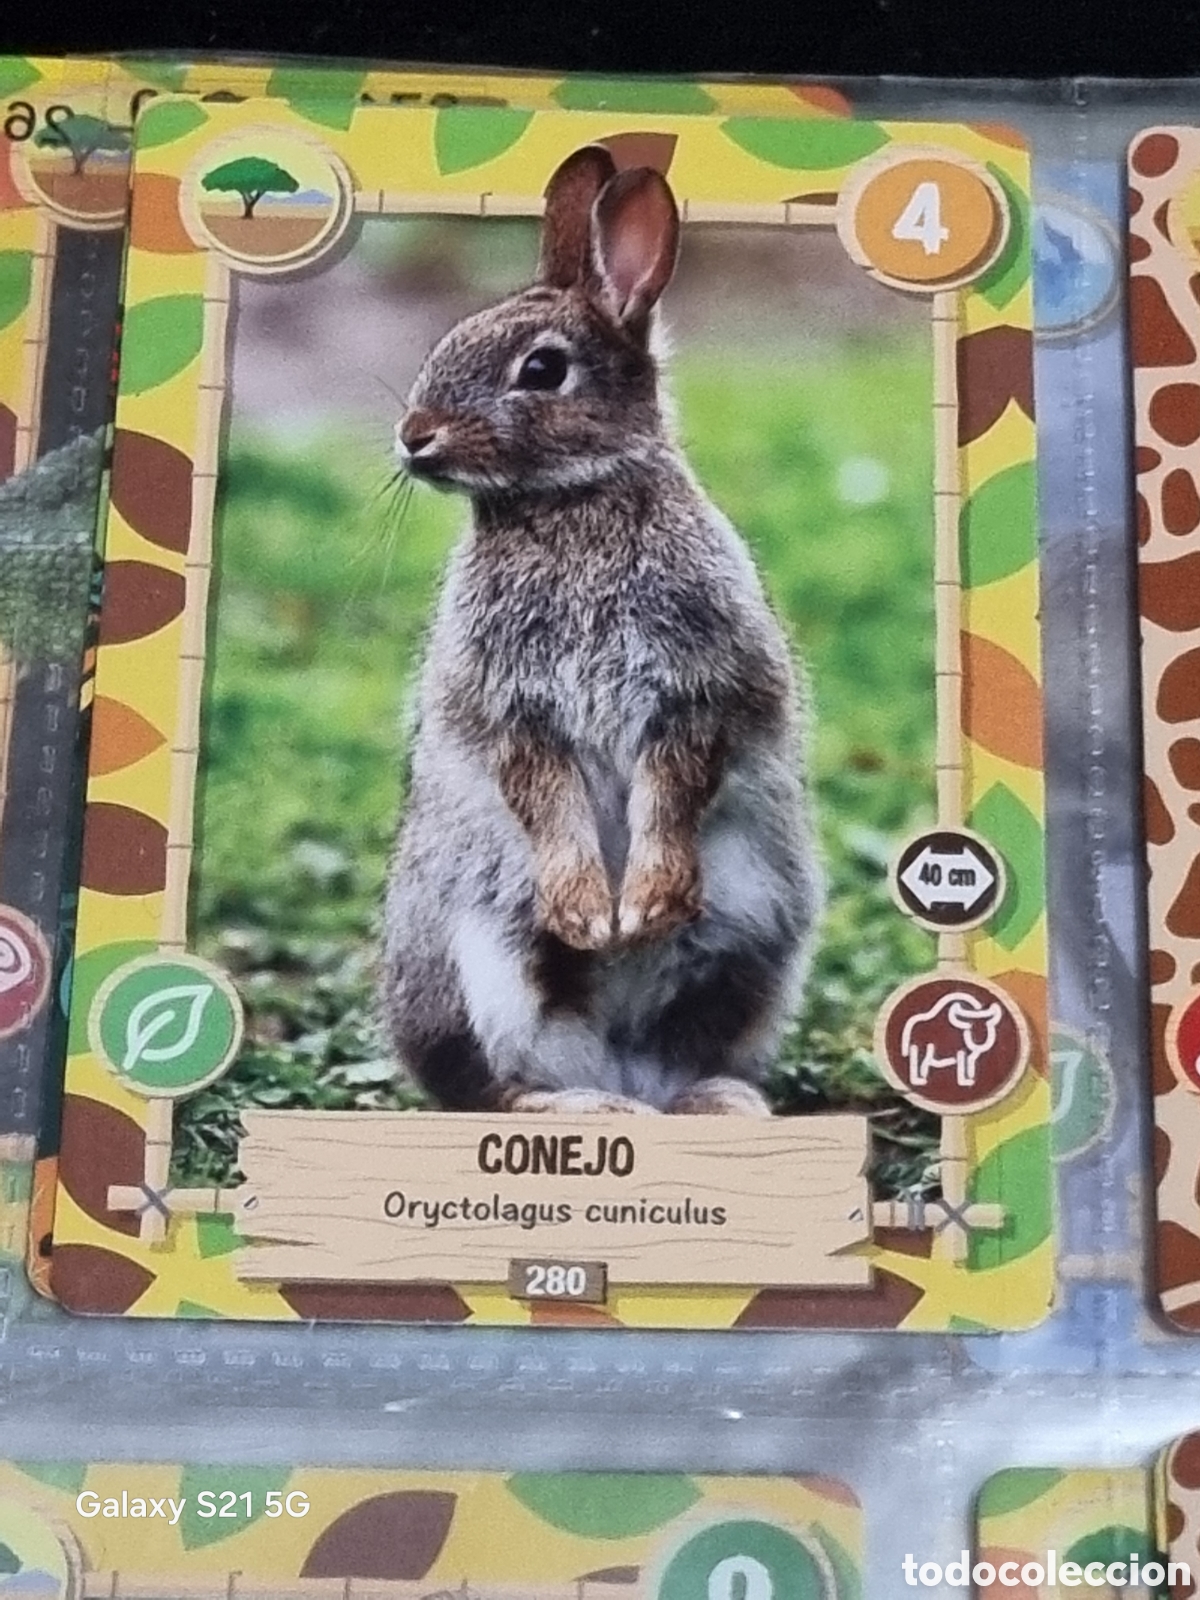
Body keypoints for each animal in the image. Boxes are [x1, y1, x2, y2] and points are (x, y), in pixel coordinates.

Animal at [381, 145, 822, 1116]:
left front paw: (644, 907)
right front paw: (589, 915)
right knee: (494, 1087)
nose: (414, 438)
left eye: (543, 370)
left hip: (753, 945)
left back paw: (709, 1104)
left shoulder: (697, 691)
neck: (572, 500)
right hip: (486, 956)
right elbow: (544, 798)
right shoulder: (517, 710)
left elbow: (676, 784)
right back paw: (586, 1107)